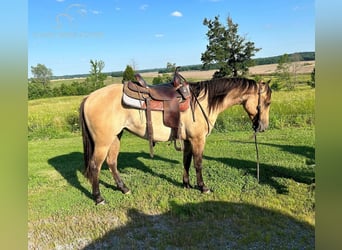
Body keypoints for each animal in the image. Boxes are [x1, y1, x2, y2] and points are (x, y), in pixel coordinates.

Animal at [79, 69, 272, 204]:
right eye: (267, 102)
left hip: (115, 137)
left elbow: (186, 161)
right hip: (103, 142)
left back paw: (124, 188)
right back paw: (98, 198)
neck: (202, 102)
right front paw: (203, 187)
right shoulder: (198, 139)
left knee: (112, 162)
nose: (263, 127)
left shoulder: (187, 140)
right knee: (95, 166)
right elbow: (198, 163)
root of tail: (89, 97)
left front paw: (186, 184)